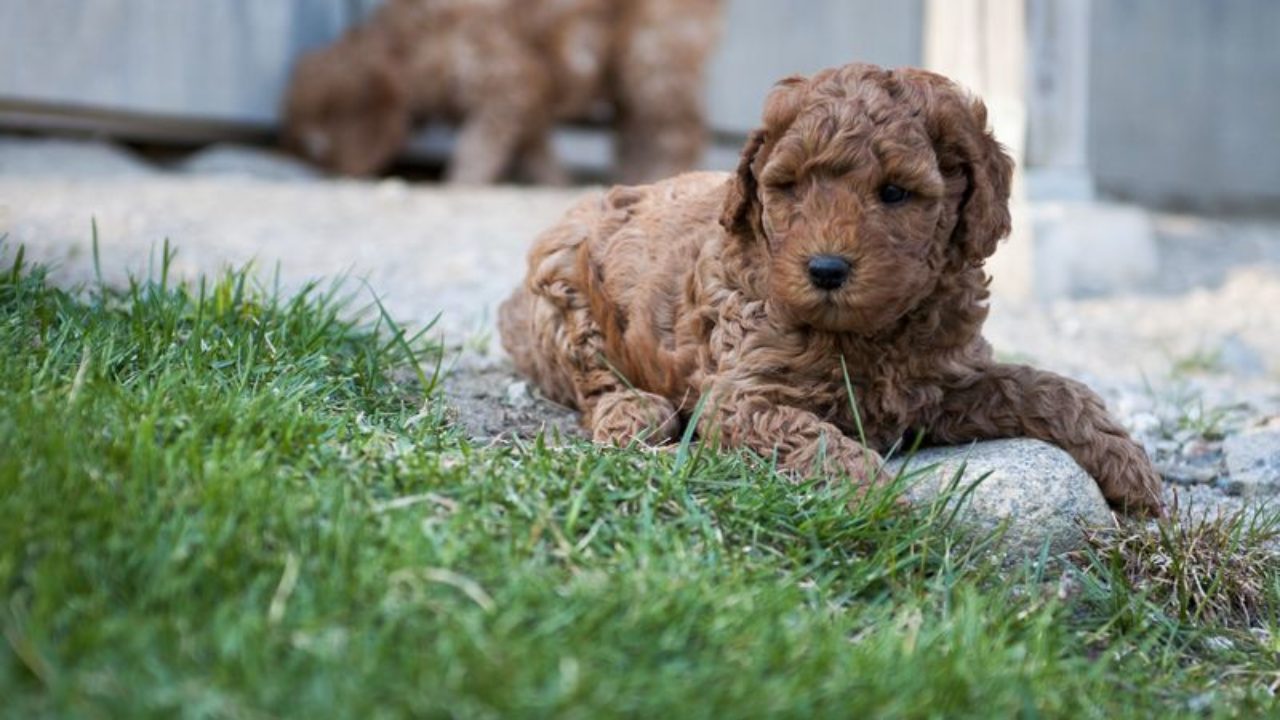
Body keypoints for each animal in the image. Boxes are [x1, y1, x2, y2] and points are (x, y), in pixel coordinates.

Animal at [282, 0, 721, 183]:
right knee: (636, 130)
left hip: (654, 51)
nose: (334, 175)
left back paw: (662, 175)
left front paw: (460, 185)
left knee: (675, 129)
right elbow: (534, 149)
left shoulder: (507, 77)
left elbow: (477, 146)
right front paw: (553, 182)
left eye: (322, 147)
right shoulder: (529, 101)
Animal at [499, 64, 1172, 515]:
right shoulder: (743, 396)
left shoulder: (942, 383)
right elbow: (815, 438)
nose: (825, 269)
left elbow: (1047, 387)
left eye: (895, 193)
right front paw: (878, 500)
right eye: (790, 186)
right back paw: (631, 412)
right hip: (563, 287)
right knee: (590, 374)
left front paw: (1127, 466)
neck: (872, 333)